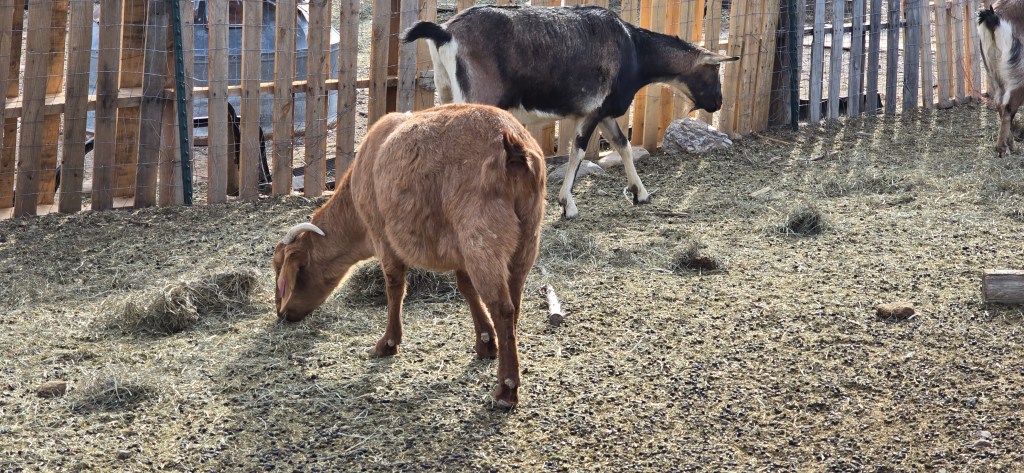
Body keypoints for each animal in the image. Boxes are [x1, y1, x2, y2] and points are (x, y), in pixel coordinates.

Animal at [273, 104, 546, 408]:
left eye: (281, 273)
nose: (282, 314)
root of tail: (513, 148)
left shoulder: (382, 235)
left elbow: (394, 287)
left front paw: (388, 343)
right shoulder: (459, 249)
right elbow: (465, 287)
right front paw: (486, 342)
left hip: (482, 237)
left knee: (503, 307)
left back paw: (507, 389)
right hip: (525, 238)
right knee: (515, 303)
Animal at [401, 5, 738, 219]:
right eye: (714, 72)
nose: (718, 103)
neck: (634, 51)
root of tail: (443, 31)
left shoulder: (605, 112)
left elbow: (623, 145)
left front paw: (640, 193)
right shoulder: (592, 111)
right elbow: (578, 150)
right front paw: (568, 205)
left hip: (446, 90)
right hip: (479, 98)